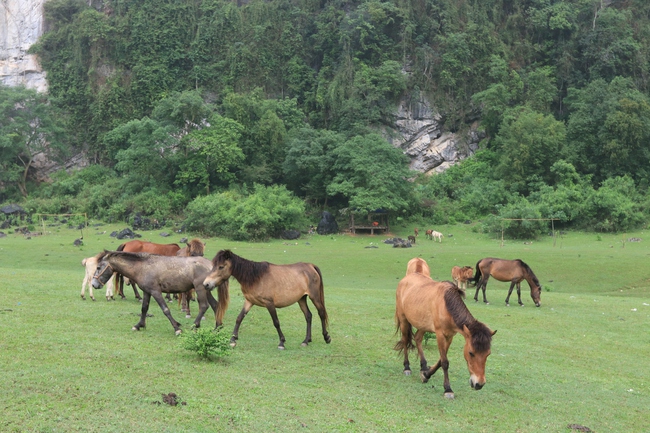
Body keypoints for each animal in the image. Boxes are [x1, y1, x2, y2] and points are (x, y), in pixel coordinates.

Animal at [91, 250, 228, 334]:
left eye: (98, 267)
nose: (93, 284)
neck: (142, 267)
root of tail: (211, 264)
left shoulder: (155, 291)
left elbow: (165, 309)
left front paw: (177, 328)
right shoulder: (147, 292)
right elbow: (144, 309)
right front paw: (139, 325)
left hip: (200, 289)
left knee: (204, 306)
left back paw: (195, 325)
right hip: (207, 289)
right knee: (215, 305)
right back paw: (218, 327)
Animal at [201, 248, 330, 350]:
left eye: (221, 267)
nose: (206, 284)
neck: (255, 277)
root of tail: (311, 266)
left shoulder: (269, 303)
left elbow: (276, 322)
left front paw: (281, 342)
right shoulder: (249, 301)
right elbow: (239, 318)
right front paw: (233, 339)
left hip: (315, 297)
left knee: (321, 313)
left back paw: (326, 337)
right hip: (301, 299)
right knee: (308, 316)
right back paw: (306, 341)